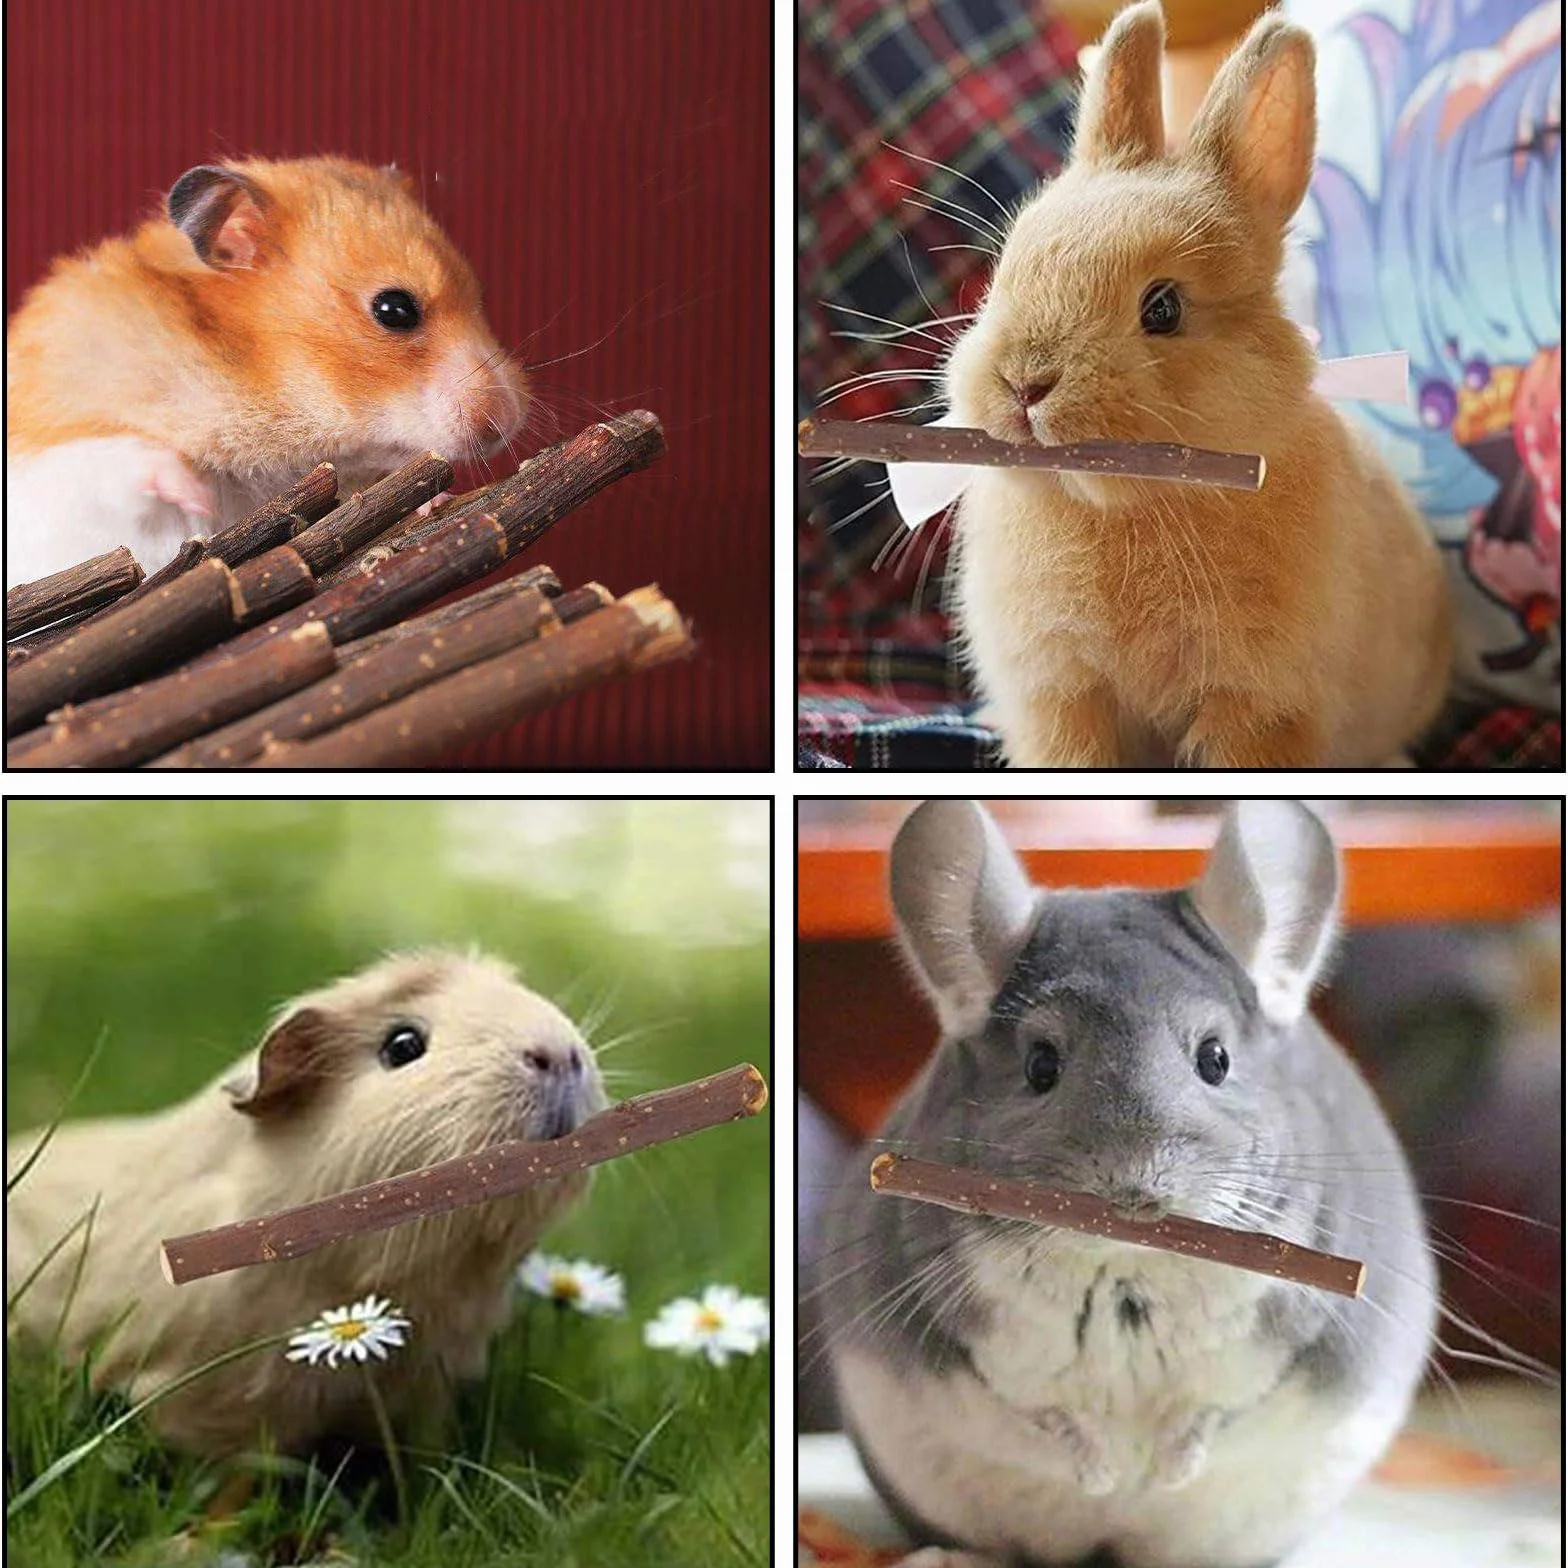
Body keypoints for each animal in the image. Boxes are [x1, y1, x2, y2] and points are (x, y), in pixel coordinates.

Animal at [6, 157, 528, 586]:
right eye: (394, 309)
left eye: (479, 296)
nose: (507, 422)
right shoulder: (56, 452)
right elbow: (124, 460)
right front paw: (198, 497)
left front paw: (434, 498)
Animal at [821, 800, 1437, 1568]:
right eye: (1041, 1065)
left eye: (1215, 1058)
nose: (1136, 1189)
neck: (1127, 1273)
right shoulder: (959, 1354)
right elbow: (1037, 1419)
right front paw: (1104, 1475)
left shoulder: (1299, 1337)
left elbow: (1219, 1413)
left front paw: (1166, 1472)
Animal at [942, 3, 1452, 766]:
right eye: (1008, 267)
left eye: (1164, 309)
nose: (1025, 382)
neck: (1124, 509)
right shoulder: (1063, 696)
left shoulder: (1259, 708)